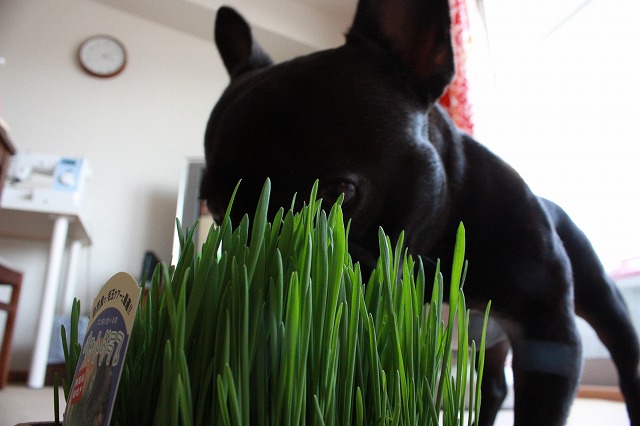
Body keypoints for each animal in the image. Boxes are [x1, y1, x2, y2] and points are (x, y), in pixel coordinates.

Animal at [199, 1, 640, 424]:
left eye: (338, 194)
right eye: (218, 212)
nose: (256, 261)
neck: (434, 252)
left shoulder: (548, 334)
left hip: (601, 301)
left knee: (625, 358)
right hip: (485, 339)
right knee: (493, 387)